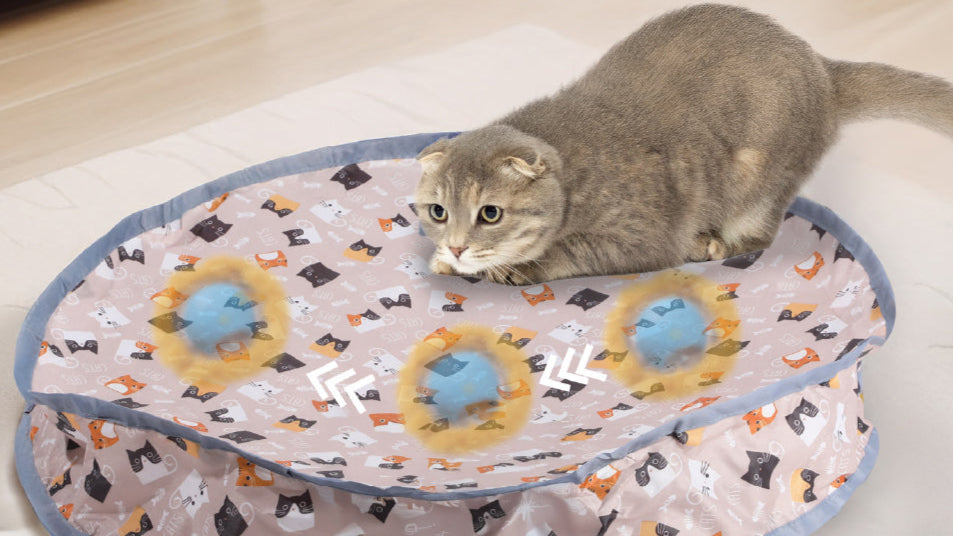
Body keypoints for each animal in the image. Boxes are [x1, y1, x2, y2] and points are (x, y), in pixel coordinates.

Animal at [414, 3, 952, 284]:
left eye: (490, 214)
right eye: (437, 212)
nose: (457, 247)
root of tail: (822, 67)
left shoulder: (638, 235)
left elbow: (568, 252)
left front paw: (509, 267)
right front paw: (443, 259)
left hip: (759, 179)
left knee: (758, 233)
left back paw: (710, 244)